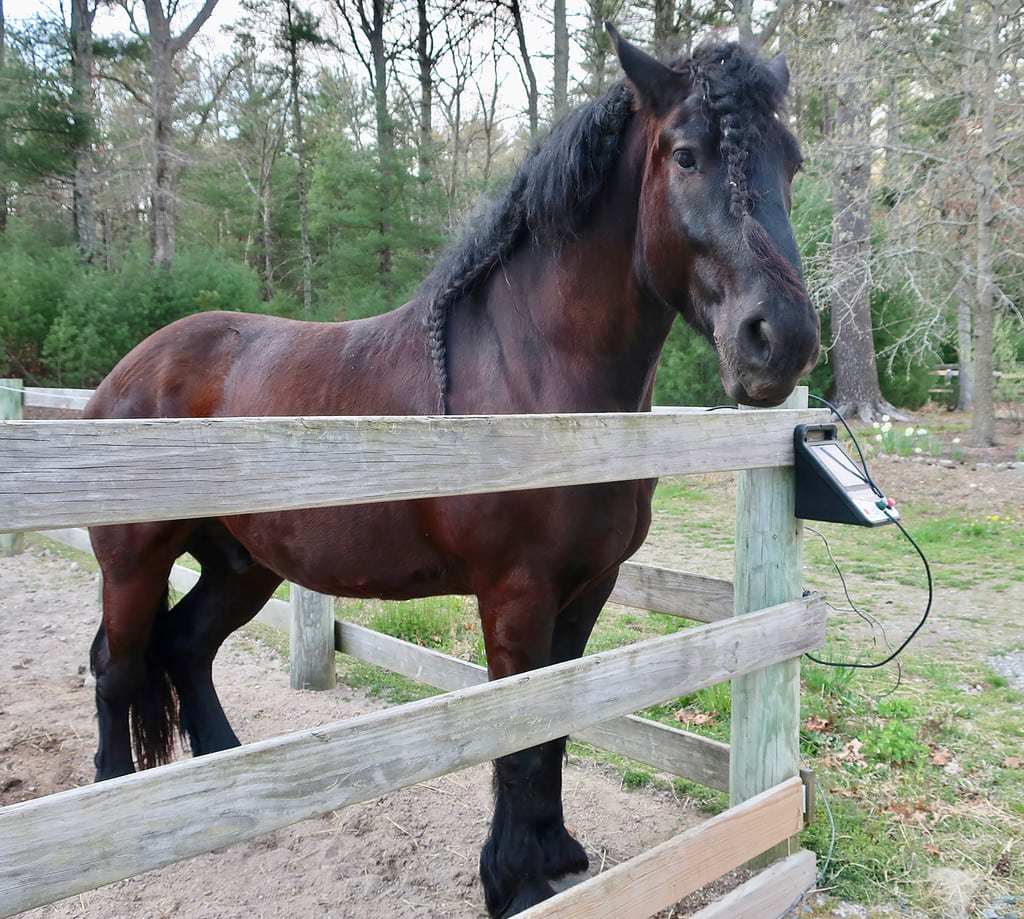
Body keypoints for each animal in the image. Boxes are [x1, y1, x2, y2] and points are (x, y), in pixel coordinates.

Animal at [86, 28, 823, 917]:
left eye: (792, 161)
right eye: (686, 154)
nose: (779, 339)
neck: (535, 374)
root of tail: (128, 373)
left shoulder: (588, 588)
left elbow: (556, 724)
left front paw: (555, 853)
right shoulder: (516, 592)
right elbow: (518, 733)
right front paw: (516, 882)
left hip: (240, 563)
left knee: (186, 647)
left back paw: (221, 781)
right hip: (135, 561)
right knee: (117, 665)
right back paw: (113, 802)